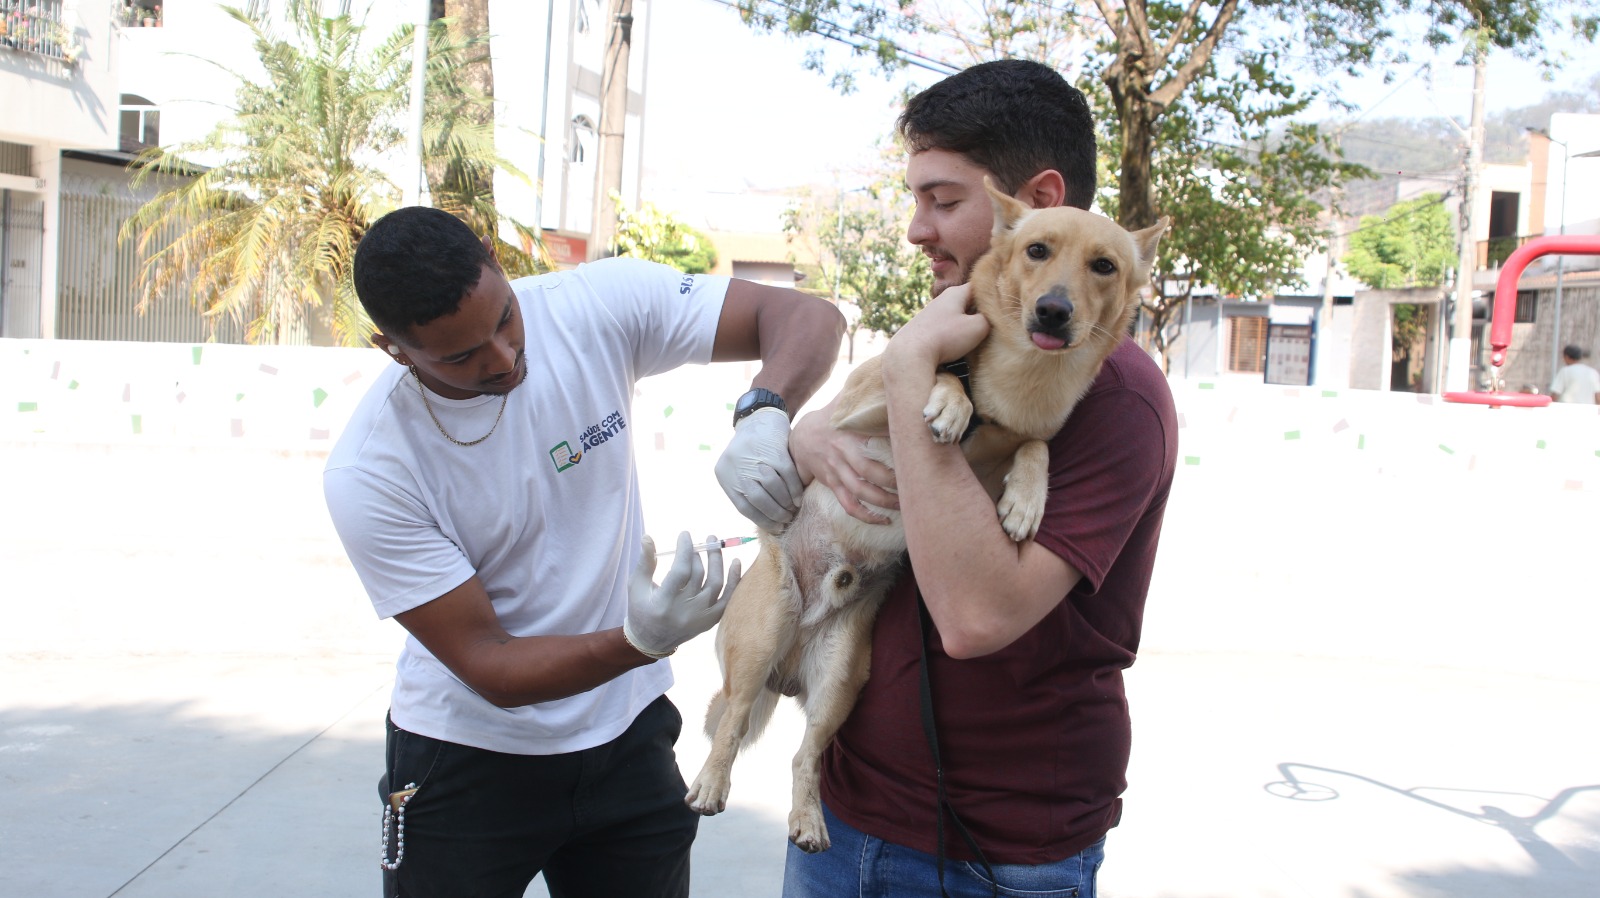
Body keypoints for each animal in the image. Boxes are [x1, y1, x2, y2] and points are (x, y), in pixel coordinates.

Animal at [681, 180, 1171, 845]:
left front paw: (1026, 498)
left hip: (840, 680)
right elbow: (930, 369)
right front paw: (949, 399)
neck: (1022, 381)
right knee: (731, 720)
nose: (1053, 311)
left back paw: (808, 818)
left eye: (1105, 266)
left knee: (805, 754)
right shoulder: (867, 398)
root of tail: (789, 663)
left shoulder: (997, 461)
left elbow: (1035, 445)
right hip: (761, 636)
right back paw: (711, 783)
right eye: (1037, 250)